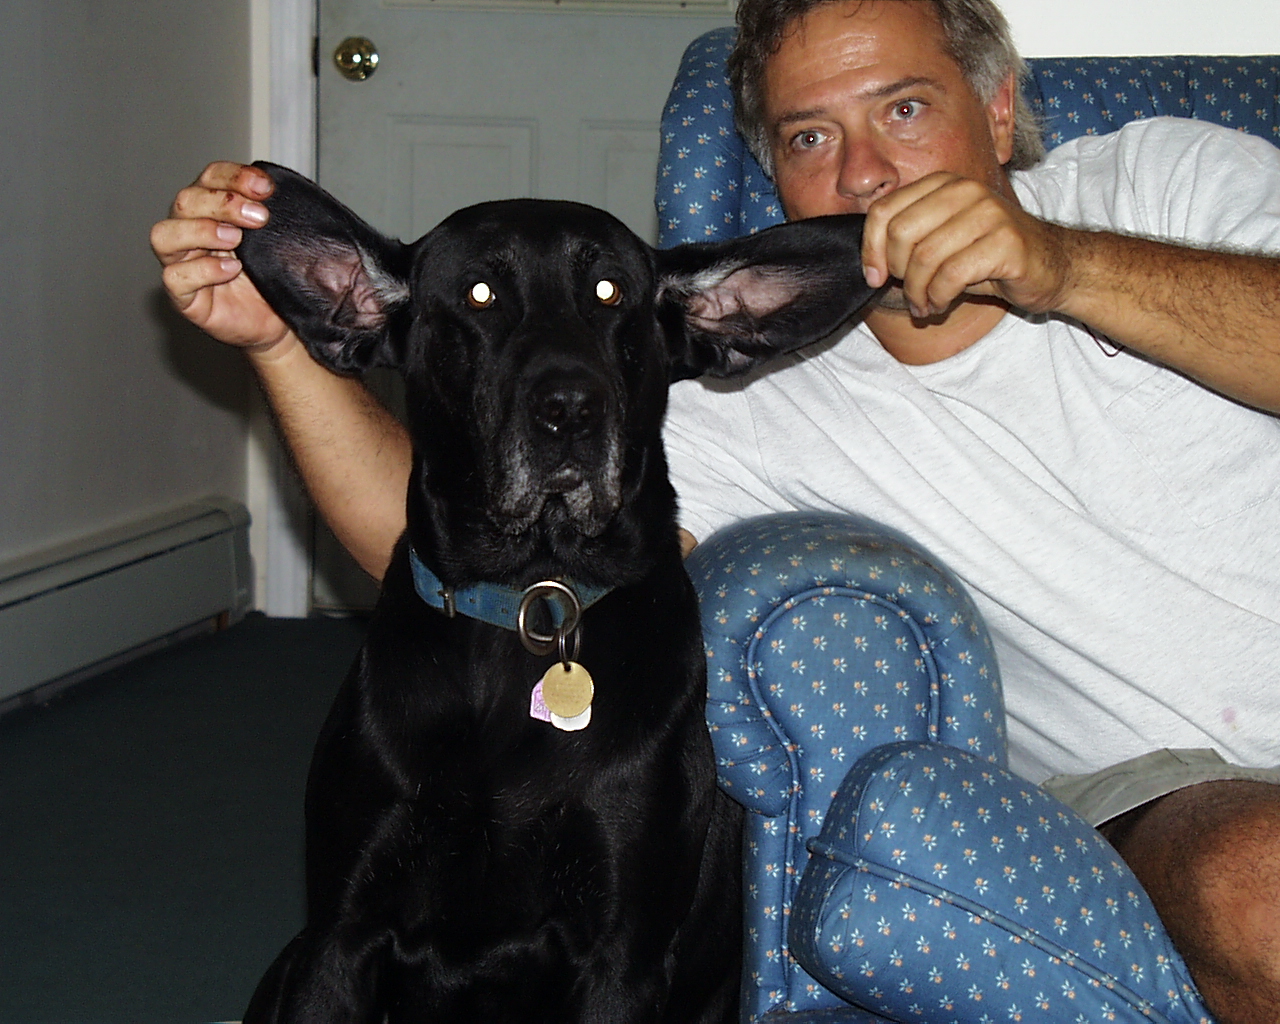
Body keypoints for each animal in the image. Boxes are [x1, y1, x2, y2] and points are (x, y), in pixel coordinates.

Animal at [234, 161, 882, 1024]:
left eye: (611, 293)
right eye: (479, 294)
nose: (571, 409)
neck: (529, 594)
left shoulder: (621, 955)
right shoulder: (338, 935)